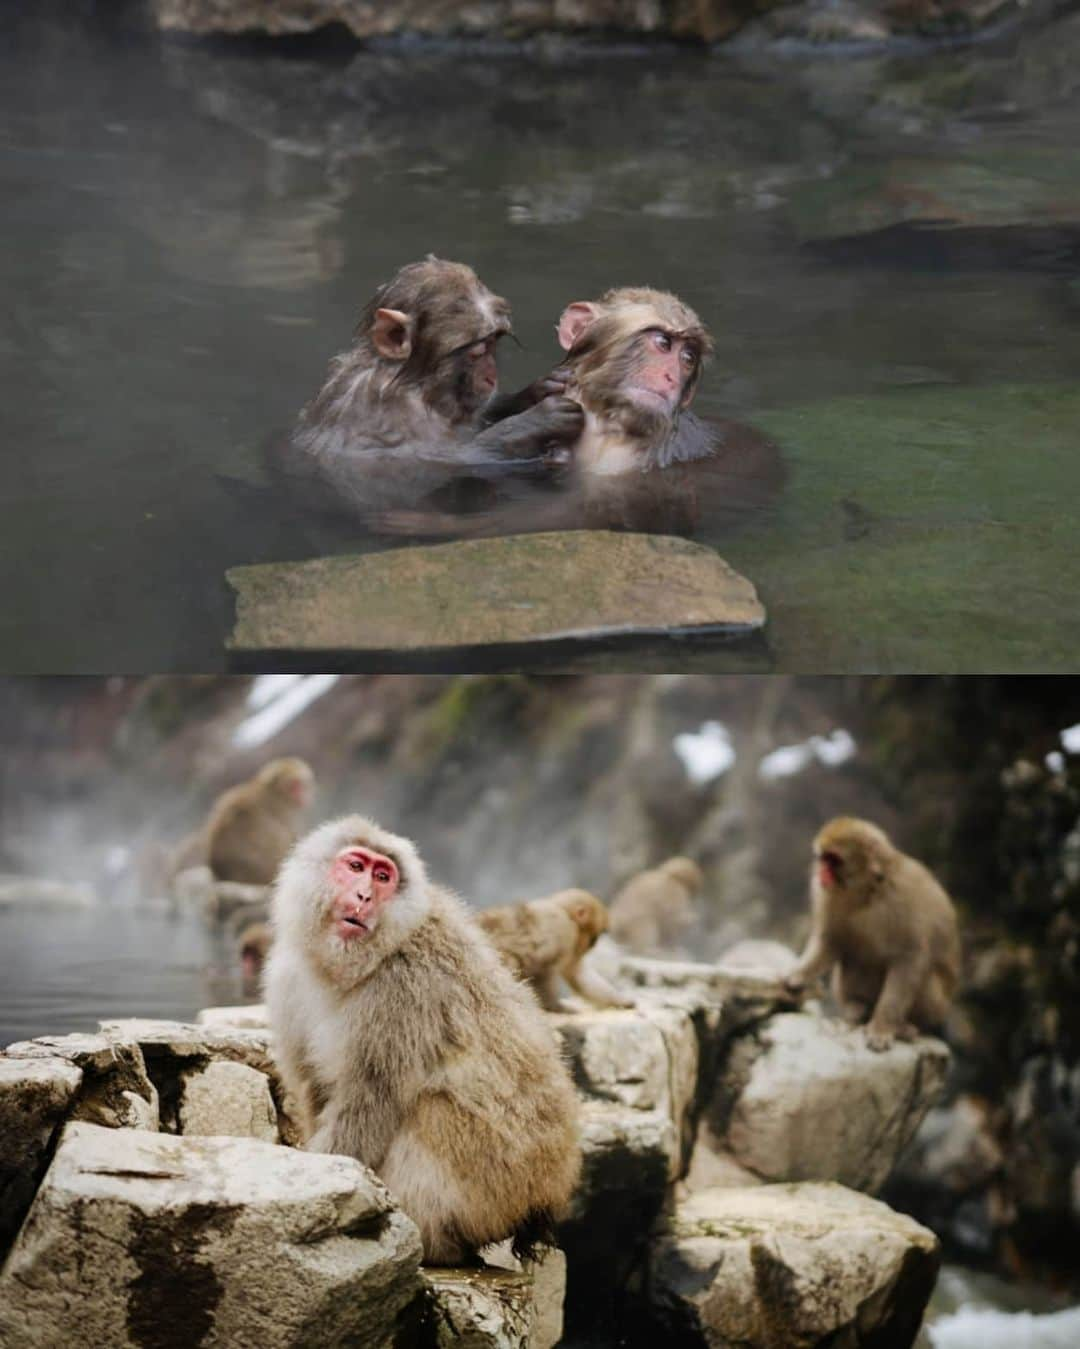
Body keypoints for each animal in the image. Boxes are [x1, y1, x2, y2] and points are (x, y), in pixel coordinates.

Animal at [262, 814, 582, 1268]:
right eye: (356, 866)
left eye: (383, 877)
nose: (364, 895)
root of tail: (545, 1199)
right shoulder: (288, 976)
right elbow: (316, 1091)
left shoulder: (404, 988)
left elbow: (368, 1103)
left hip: (500, 1183)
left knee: (431, 1110)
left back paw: (437, 1246)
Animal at [273, 254, 585, 518]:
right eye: (477, 351)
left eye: (493, 344)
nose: (491, 377)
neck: (413, 383)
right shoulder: (385, 412)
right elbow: (437, 463)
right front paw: (536, 420)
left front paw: (537, 390)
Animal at [477, 890, 631, 1009]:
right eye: (594, 937)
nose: (592, 945)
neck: (563, 910)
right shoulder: (566, 931)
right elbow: (546, 969)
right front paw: (555, 1006)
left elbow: (576, 974)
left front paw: (621, 1000)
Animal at [782, 809, 960, 1052]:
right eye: (822, 857)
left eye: (833, 859)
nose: (821, 872)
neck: (868, 892)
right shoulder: (825, 894)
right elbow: (831, 940)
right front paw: (799, 974)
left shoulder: (904, 897)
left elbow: (909, 958)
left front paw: (882, 1027)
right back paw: (857, 1006)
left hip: (938, 1008)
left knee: (926, 978)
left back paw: (904, 1026)